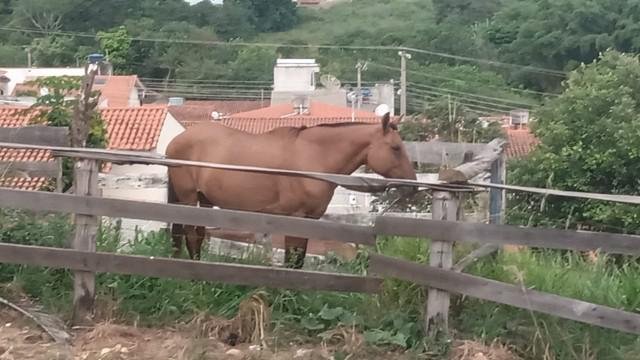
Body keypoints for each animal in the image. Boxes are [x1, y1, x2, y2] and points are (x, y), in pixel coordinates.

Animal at [162, 112, 418, 268]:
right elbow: (293, 259)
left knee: (197, 235)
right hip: (188, 198)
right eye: (395, 148)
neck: (314, 157)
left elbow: (299, 258)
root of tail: (176, 140)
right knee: (191, 236)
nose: (412, 185)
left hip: (204, 200)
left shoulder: (309, 220)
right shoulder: (296, 217)